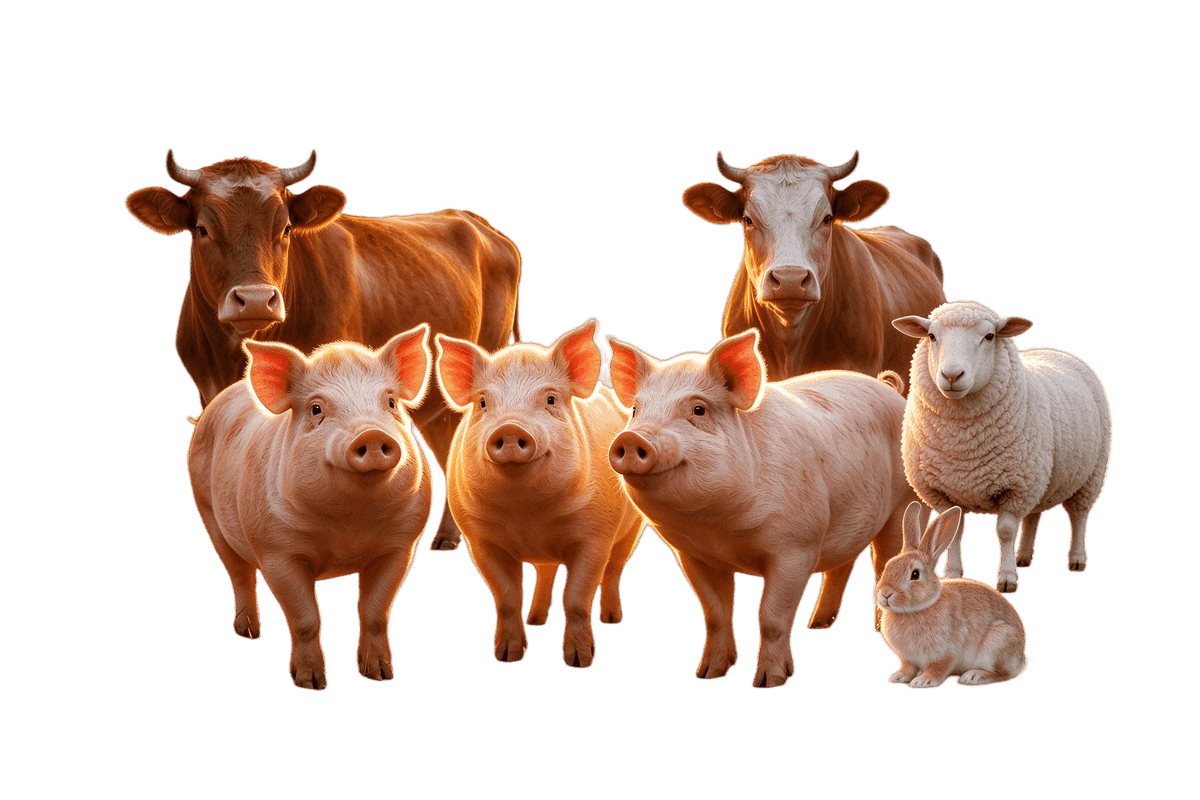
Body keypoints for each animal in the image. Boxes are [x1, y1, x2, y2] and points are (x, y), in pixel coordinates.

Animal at [186, 324, 434, 690]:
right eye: (317, 409)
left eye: (390, 402)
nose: (371, 435)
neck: (348, 528)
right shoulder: (276, 552)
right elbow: (305, 618)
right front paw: (311, 683)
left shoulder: (401, 546)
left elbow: (375, 612)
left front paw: (381, 675)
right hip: (208, 512)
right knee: (239, 574)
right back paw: (248, 632)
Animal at [435, 318, 646, 668]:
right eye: (483, 403)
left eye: (550, 400)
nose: (510, 429)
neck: (528, 515)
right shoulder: (480, 541)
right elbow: (507, 597)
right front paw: (507, 657)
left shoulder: (595, 536)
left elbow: (576, 598)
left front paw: (580, 662)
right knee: (546, 572)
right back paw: (536, 620)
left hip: (632, 529)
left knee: (615, 569)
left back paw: (612, 619)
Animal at [605, 329, 919, 688]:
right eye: (635, 410)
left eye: (698, 410)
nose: (631, 439)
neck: (717, 527)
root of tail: (889, 388)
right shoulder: (692, 554)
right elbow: (715, 613)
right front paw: (708, 674)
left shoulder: (797, 546)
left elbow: (770, 616)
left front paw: (769, 682)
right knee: (843, 564)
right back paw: (818, 624)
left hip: (902, 503)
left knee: (884, 562)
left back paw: (879, 630)